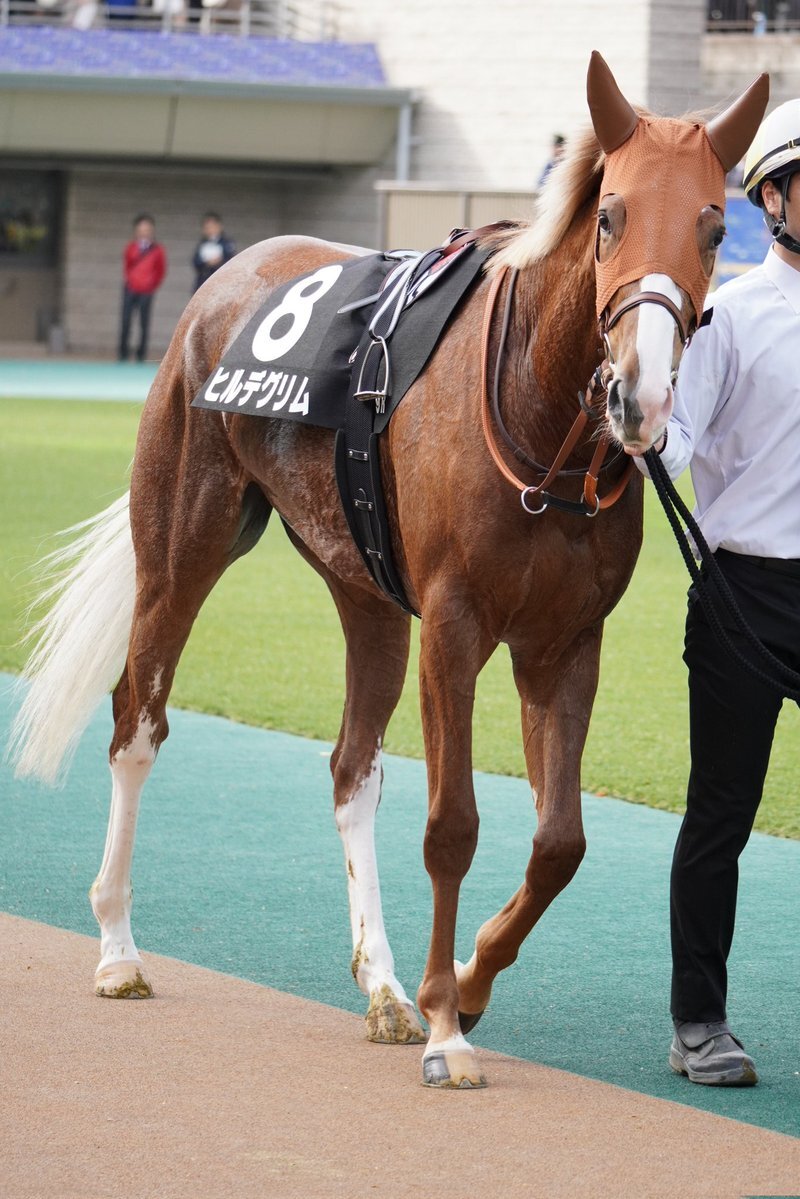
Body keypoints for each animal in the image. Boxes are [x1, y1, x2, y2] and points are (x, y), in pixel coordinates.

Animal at [10, 54, 768, 1089]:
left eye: (716, 225)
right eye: (609, 214)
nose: (641, 394)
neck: (540, 421)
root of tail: (230, 274)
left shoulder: (566, 640)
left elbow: (559, 841)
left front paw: (468, 979)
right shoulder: (453, 622)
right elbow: (452, 823)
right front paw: (451, 1028)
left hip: (363, 584)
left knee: (352, 765)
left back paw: (382, 985)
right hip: (181, 544)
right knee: (139, 719)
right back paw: (120, 949)